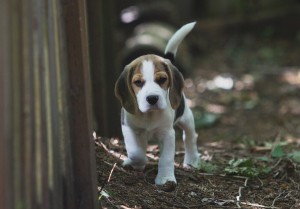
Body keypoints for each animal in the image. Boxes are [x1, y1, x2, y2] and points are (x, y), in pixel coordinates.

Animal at [115, 22, 199, 185]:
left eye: (162, 79)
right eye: (138, 82)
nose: (152, 98)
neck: (149, 115)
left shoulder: (167, 134)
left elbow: (166, 159)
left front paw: (165, 179)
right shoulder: (128, 127)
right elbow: (136, 152)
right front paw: (137, 163)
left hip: (186, 117)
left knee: (190, 137)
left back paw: (192, 160)